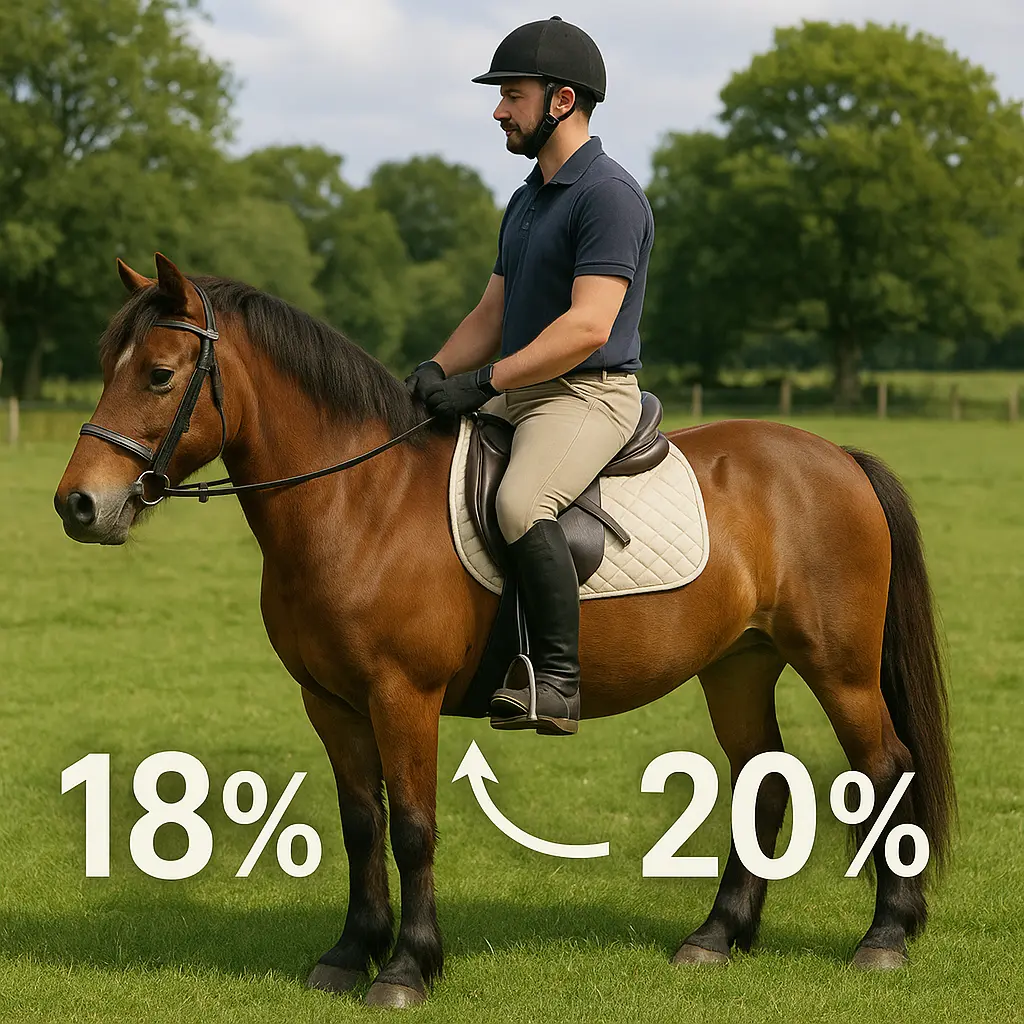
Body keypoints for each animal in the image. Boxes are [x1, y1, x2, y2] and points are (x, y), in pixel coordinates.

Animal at [54, 255, 955, 1009]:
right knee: (760, 780)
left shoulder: (402, 697)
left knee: (885, 768)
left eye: (160, 375)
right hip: (738, 664)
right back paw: (716, 936)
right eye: (105, 369)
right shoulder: (331, 703)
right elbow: (361, 824)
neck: (359, 501)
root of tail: (835, 456)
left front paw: (407, 968)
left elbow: (413, 829)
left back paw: (884, 938)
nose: (79, 506)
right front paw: (348, 955)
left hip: (838, 668)